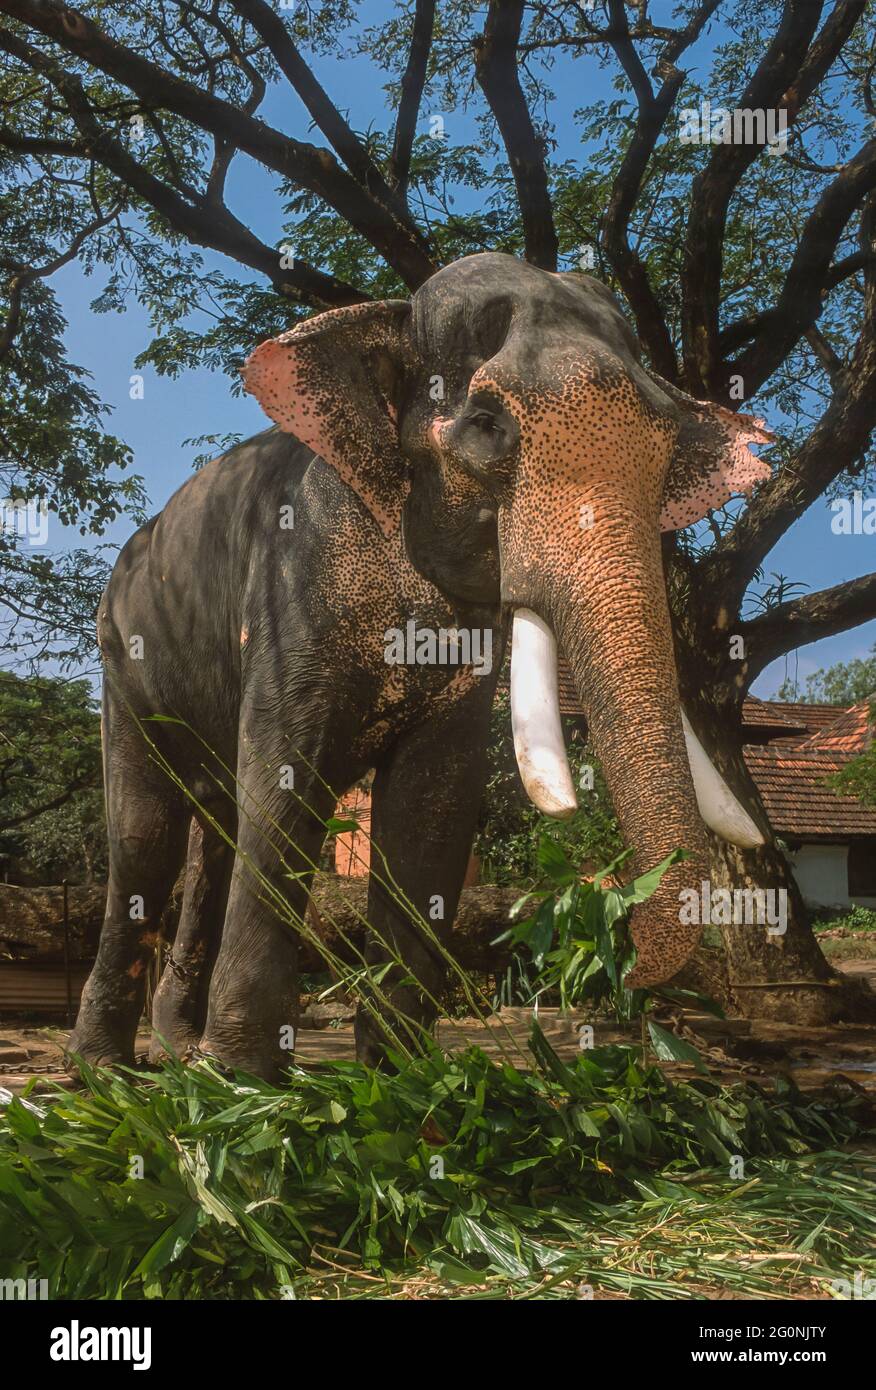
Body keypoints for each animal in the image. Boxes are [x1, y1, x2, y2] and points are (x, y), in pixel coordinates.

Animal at [68, 250, 767, 1078]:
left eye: (668, 451)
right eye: (489, 427)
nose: (621, 963)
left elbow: (430, 807)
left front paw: (400, 1075)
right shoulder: (290, 586)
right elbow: (284, 777)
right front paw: (244, 1082)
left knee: (216, 832)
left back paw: (178, 1053)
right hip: (122, 660)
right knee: (145, 834)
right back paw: (104, 1070)